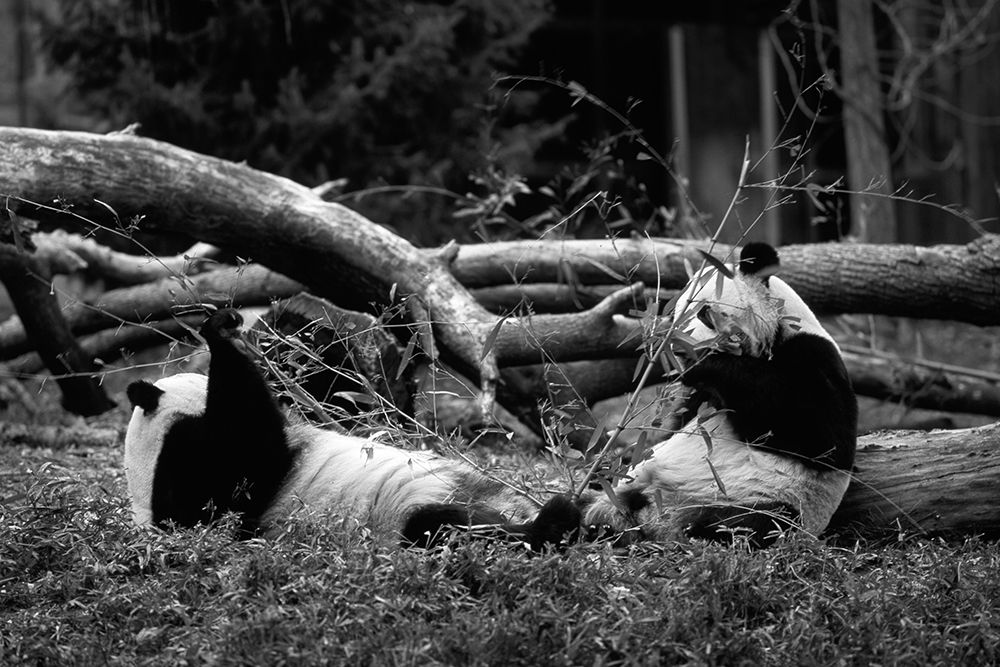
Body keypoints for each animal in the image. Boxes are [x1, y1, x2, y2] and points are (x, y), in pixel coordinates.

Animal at [123, 309, 579, 550]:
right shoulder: (193, 469)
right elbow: (248, 446)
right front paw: (220, 329)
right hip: (411, 517)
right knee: (449, 528)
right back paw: (555, 521)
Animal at [580, 242, 857, 547]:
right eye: (674, 316)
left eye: (704, 314)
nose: (678, 349)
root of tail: (652, 515)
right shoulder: (697, 398)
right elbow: (669, 430)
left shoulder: (813, 358)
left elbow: (818, 436)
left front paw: (705, 361)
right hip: (615, 496)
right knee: (580, 503)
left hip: (764, 498)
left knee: (757, 521)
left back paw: (692, 533)